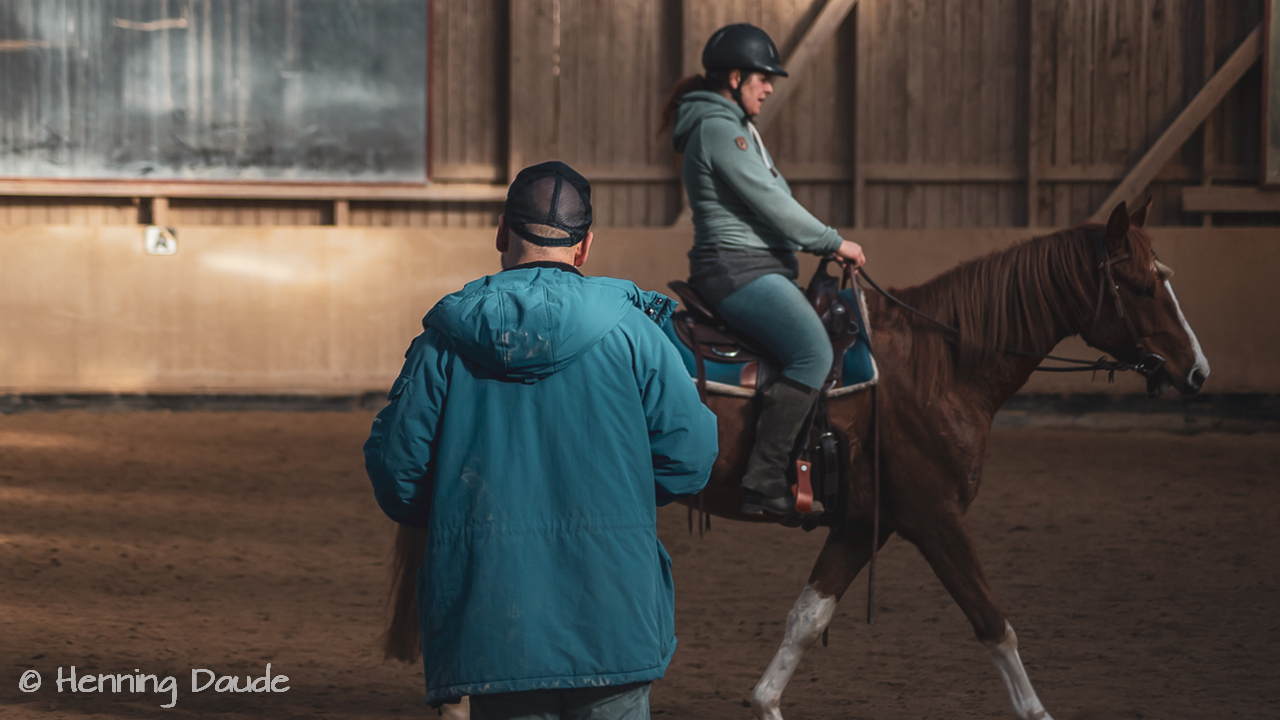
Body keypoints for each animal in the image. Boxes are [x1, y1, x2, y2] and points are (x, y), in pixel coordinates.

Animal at [382, 200, 1209, 720]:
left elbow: (808, 617)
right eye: (1141, 284)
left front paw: (765, 701)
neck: (940, 366)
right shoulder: (935, 517)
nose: (1198, 372)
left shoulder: (867, 523)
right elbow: (992, 621)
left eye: (1167, 279)